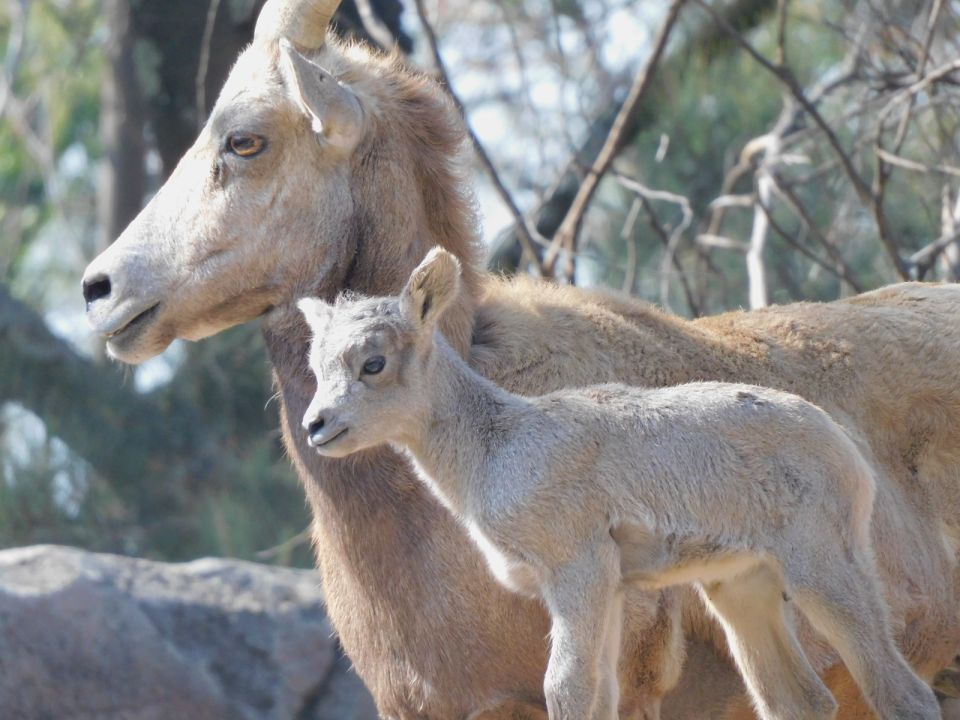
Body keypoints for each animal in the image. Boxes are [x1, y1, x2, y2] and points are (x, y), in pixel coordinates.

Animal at [298, 248, 936, 720]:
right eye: (316, 365)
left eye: (373, 362)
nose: (316, 426)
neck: (496, 450)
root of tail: (846, 450)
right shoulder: (611, 587)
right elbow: (599, 693)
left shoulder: (578, 570)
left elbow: (566, 688)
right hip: (742, 587)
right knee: (799, 701)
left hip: (823, 564)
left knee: (904, 694)